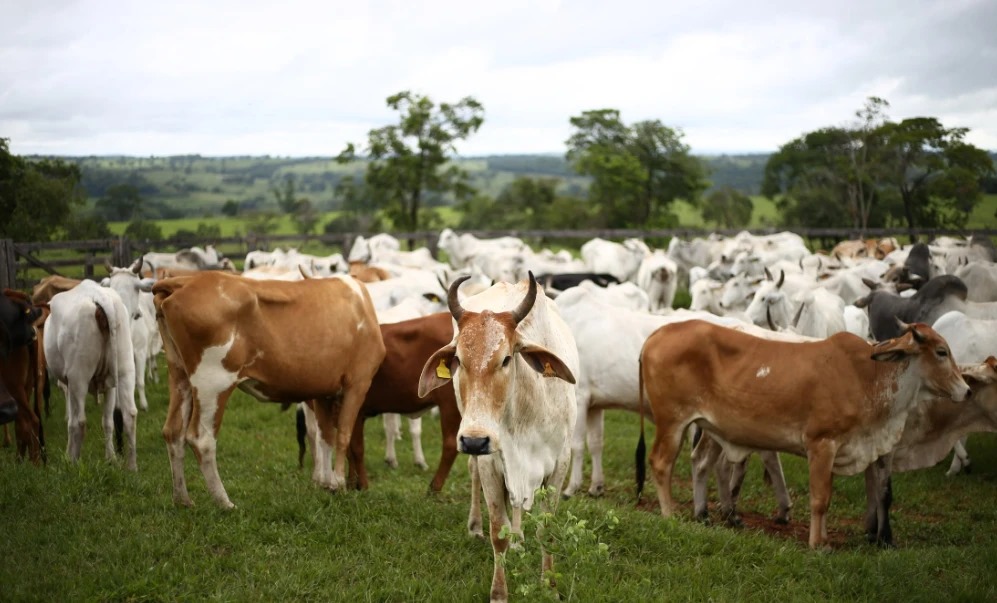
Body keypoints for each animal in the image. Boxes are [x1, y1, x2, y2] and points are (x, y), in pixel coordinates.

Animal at [44, 280, 139, 470]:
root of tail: (98, 296)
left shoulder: (69, 385)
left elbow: (71, 422)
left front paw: (68, 456)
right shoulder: (109, 386)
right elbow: (108, 422)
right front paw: (111, 458)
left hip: (79, 377)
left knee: (80, 422)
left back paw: (74, 464)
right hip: (125, 369)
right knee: (129, 415)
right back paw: (131, 467)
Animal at [152, 271, 385, 508]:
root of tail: (186, 280)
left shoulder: (323, 391)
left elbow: (325, 436)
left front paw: (327, 484)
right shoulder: (358, 382)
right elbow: (344, 435)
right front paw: (339, 484)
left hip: (179, 374)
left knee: (173, 432)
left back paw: (183, 499)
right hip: (212, 382)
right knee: (202, 439)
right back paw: (225, 503)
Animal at [418, 273, 578, 602]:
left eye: (505, 359)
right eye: (459, 359)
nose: (474, 441)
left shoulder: (560, 463)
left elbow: (547, 530)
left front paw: (549, 586)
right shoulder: (490, 462)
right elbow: (497, 532)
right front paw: (499, 593)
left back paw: (518, 538)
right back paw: (476, 526)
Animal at [636, 319, 970, 548]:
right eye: (941, 352)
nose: (966, 390)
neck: (869, 377)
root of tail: (656, 335)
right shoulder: (822, 444)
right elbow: (820, 498)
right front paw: (817, 544)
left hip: (702, 426)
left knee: (698, 462)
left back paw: (702, 514)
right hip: (672, 422)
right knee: (661, 463)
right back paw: (670, 514)